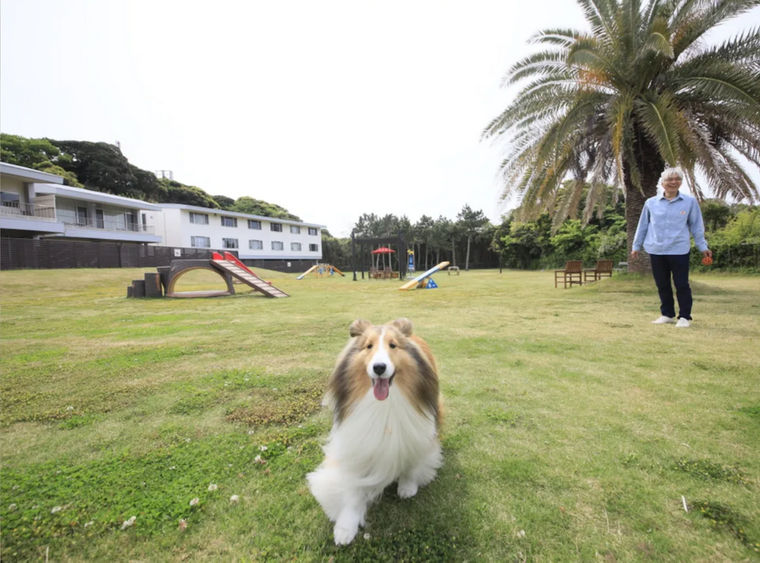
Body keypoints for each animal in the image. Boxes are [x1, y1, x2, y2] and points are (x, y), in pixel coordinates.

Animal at [306, 320, 442, 544]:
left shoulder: (418, 434)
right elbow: (352, 487)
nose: (379, 368)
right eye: (368, 346)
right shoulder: (356, 444)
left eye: (393, 345)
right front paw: (346, 526)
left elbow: (412, 464)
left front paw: (407, 486)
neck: (384, 405)